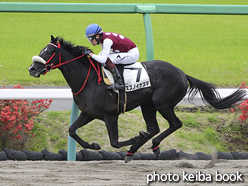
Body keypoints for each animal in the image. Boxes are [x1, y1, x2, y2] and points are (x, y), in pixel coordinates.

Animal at [28, 35, 244, 163]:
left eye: (48, 51)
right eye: (42, 50)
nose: (32, 69)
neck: (88, 80)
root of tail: (182, 73)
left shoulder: (110, 115)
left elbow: (115, 142)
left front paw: (133, 138)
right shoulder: (88, 113)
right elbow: (72, 131)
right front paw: (94, 145)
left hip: (162, 103)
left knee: (174, 124)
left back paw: (150, 145)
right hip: (147, 104)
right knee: (154, 128)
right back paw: (138, 149)